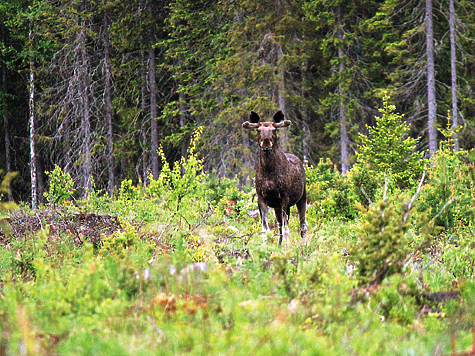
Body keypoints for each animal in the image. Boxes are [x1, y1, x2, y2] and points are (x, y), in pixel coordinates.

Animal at [244, 110, 306, 245]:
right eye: (258, 130)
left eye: (274, 129)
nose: (266, 142)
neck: (269, 171)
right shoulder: (261, 198)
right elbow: (265, 228)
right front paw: (265, 246)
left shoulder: (285, 198)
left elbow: (287, 229)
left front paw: (287, 247)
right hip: (277, 206)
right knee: (279, 226)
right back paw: (279, 245)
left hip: (302, 197)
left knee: (302, 224)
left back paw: (304, 245)